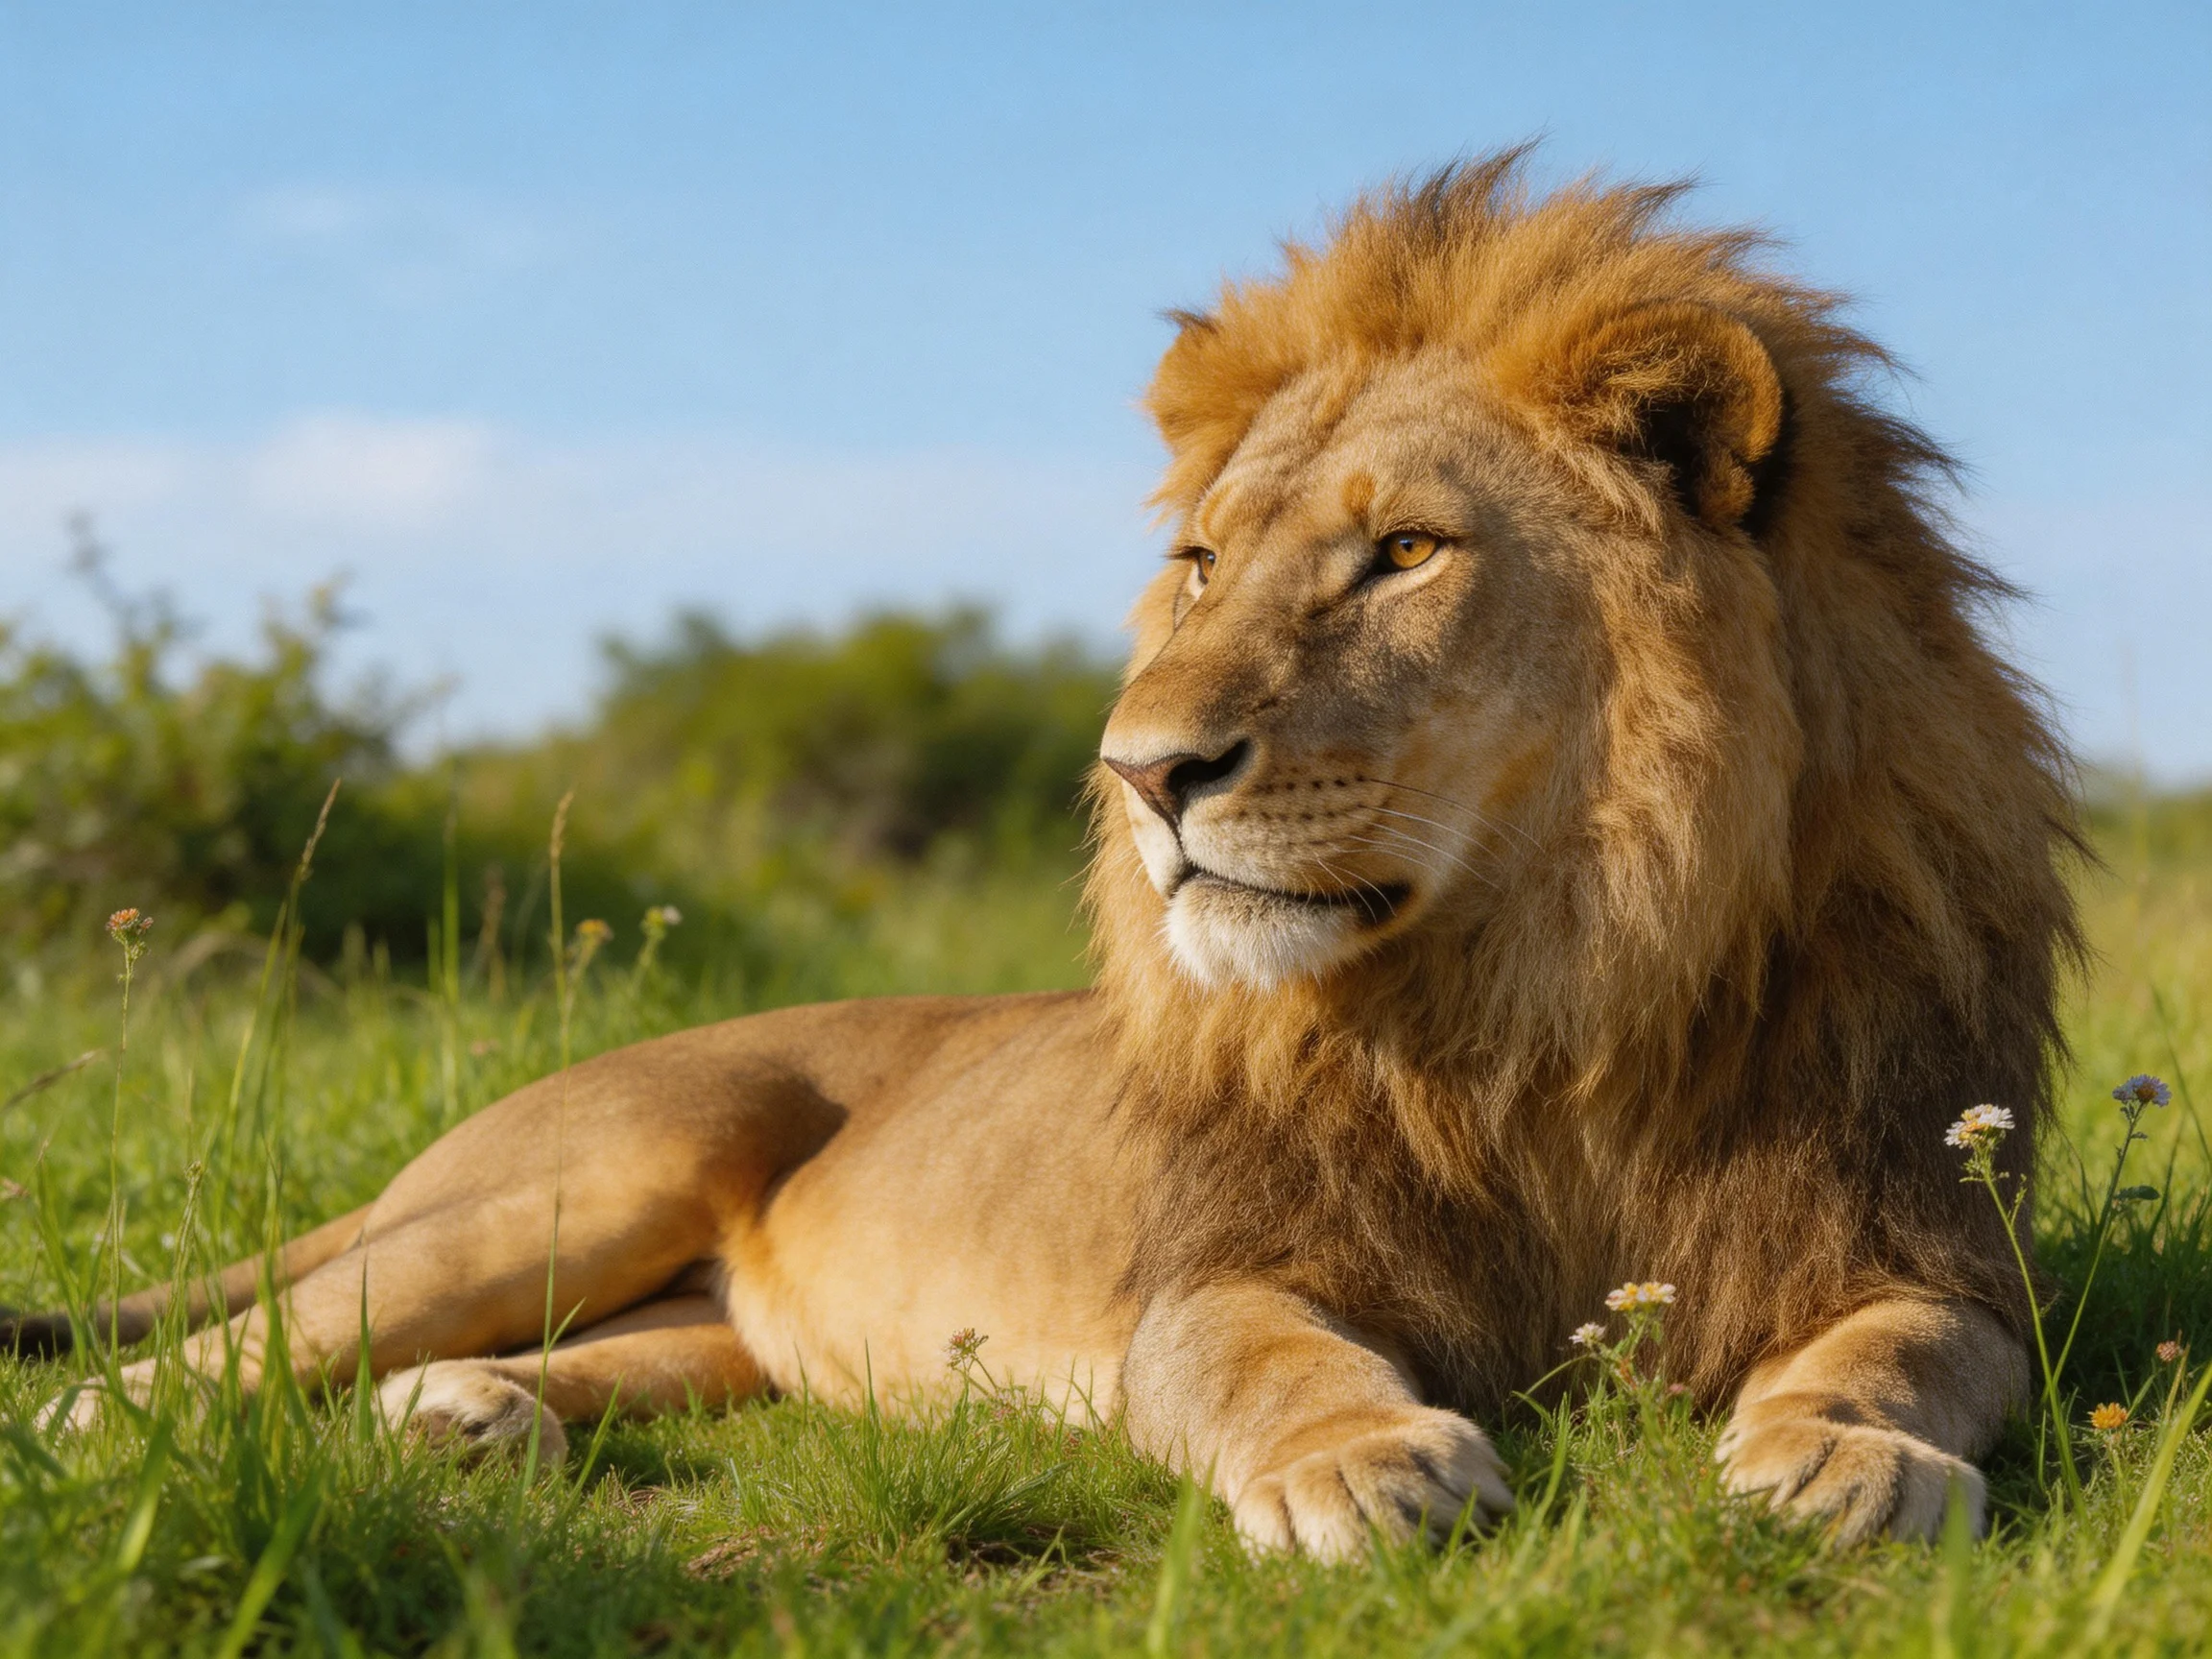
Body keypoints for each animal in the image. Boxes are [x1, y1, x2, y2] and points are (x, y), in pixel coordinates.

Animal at [9, 152, 2078, 1556]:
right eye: (1203, 563)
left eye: (1405, 552)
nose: (1143, 770)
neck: (1546, 990)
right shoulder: (1215, 1273)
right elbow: (1259, 1359)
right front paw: (1362, 1461)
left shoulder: (1918, 1235)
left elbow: (1918, 1346)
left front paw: (1843, 1450)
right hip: (578, 1178)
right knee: (209, 1353)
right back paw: (124, 1435)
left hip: (706, 1333)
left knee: (580, 1358)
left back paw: (461, 1419)